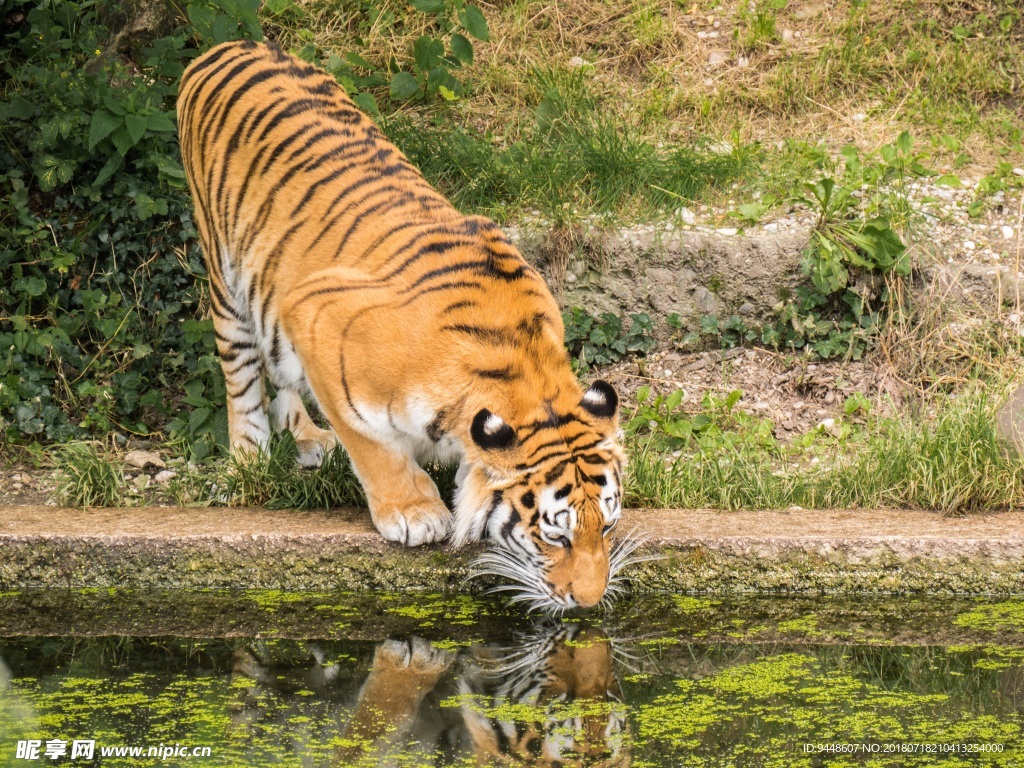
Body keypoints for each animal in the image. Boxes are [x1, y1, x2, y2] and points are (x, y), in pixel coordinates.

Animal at [176, 40, 622, 606]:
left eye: (606, 527)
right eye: (555, 535)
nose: (589, 602)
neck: (521, 367)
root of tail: (231, 45)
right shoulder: (315, 316)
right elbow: (373, 446)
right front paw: (414, 513)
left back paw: (309, 437)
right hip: (227, 276)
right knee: (242, 381)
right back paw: (249, 462)